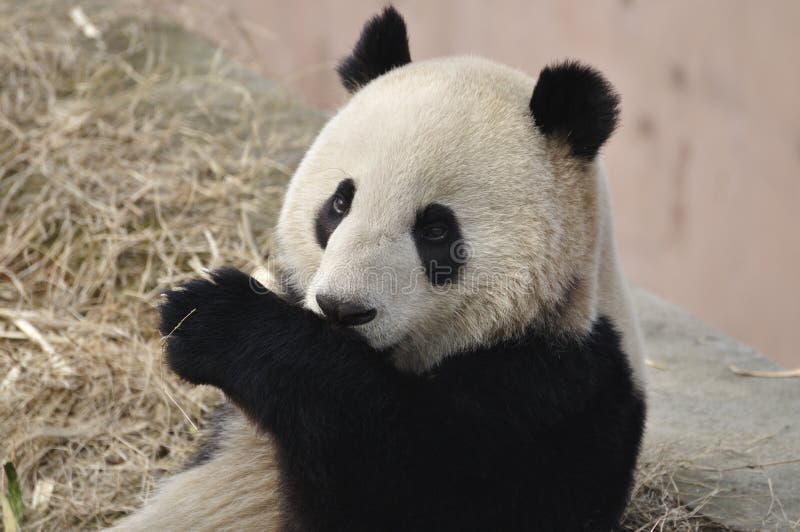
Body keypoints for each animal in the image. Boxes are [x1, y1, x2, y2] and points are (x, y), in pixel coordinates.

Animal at [115, 5, 648, 532]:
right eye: (339, 202)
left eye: (436, 230)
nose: (342, 309)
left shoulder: (557, 398)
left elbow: (397, 486)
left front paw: (216, 319)